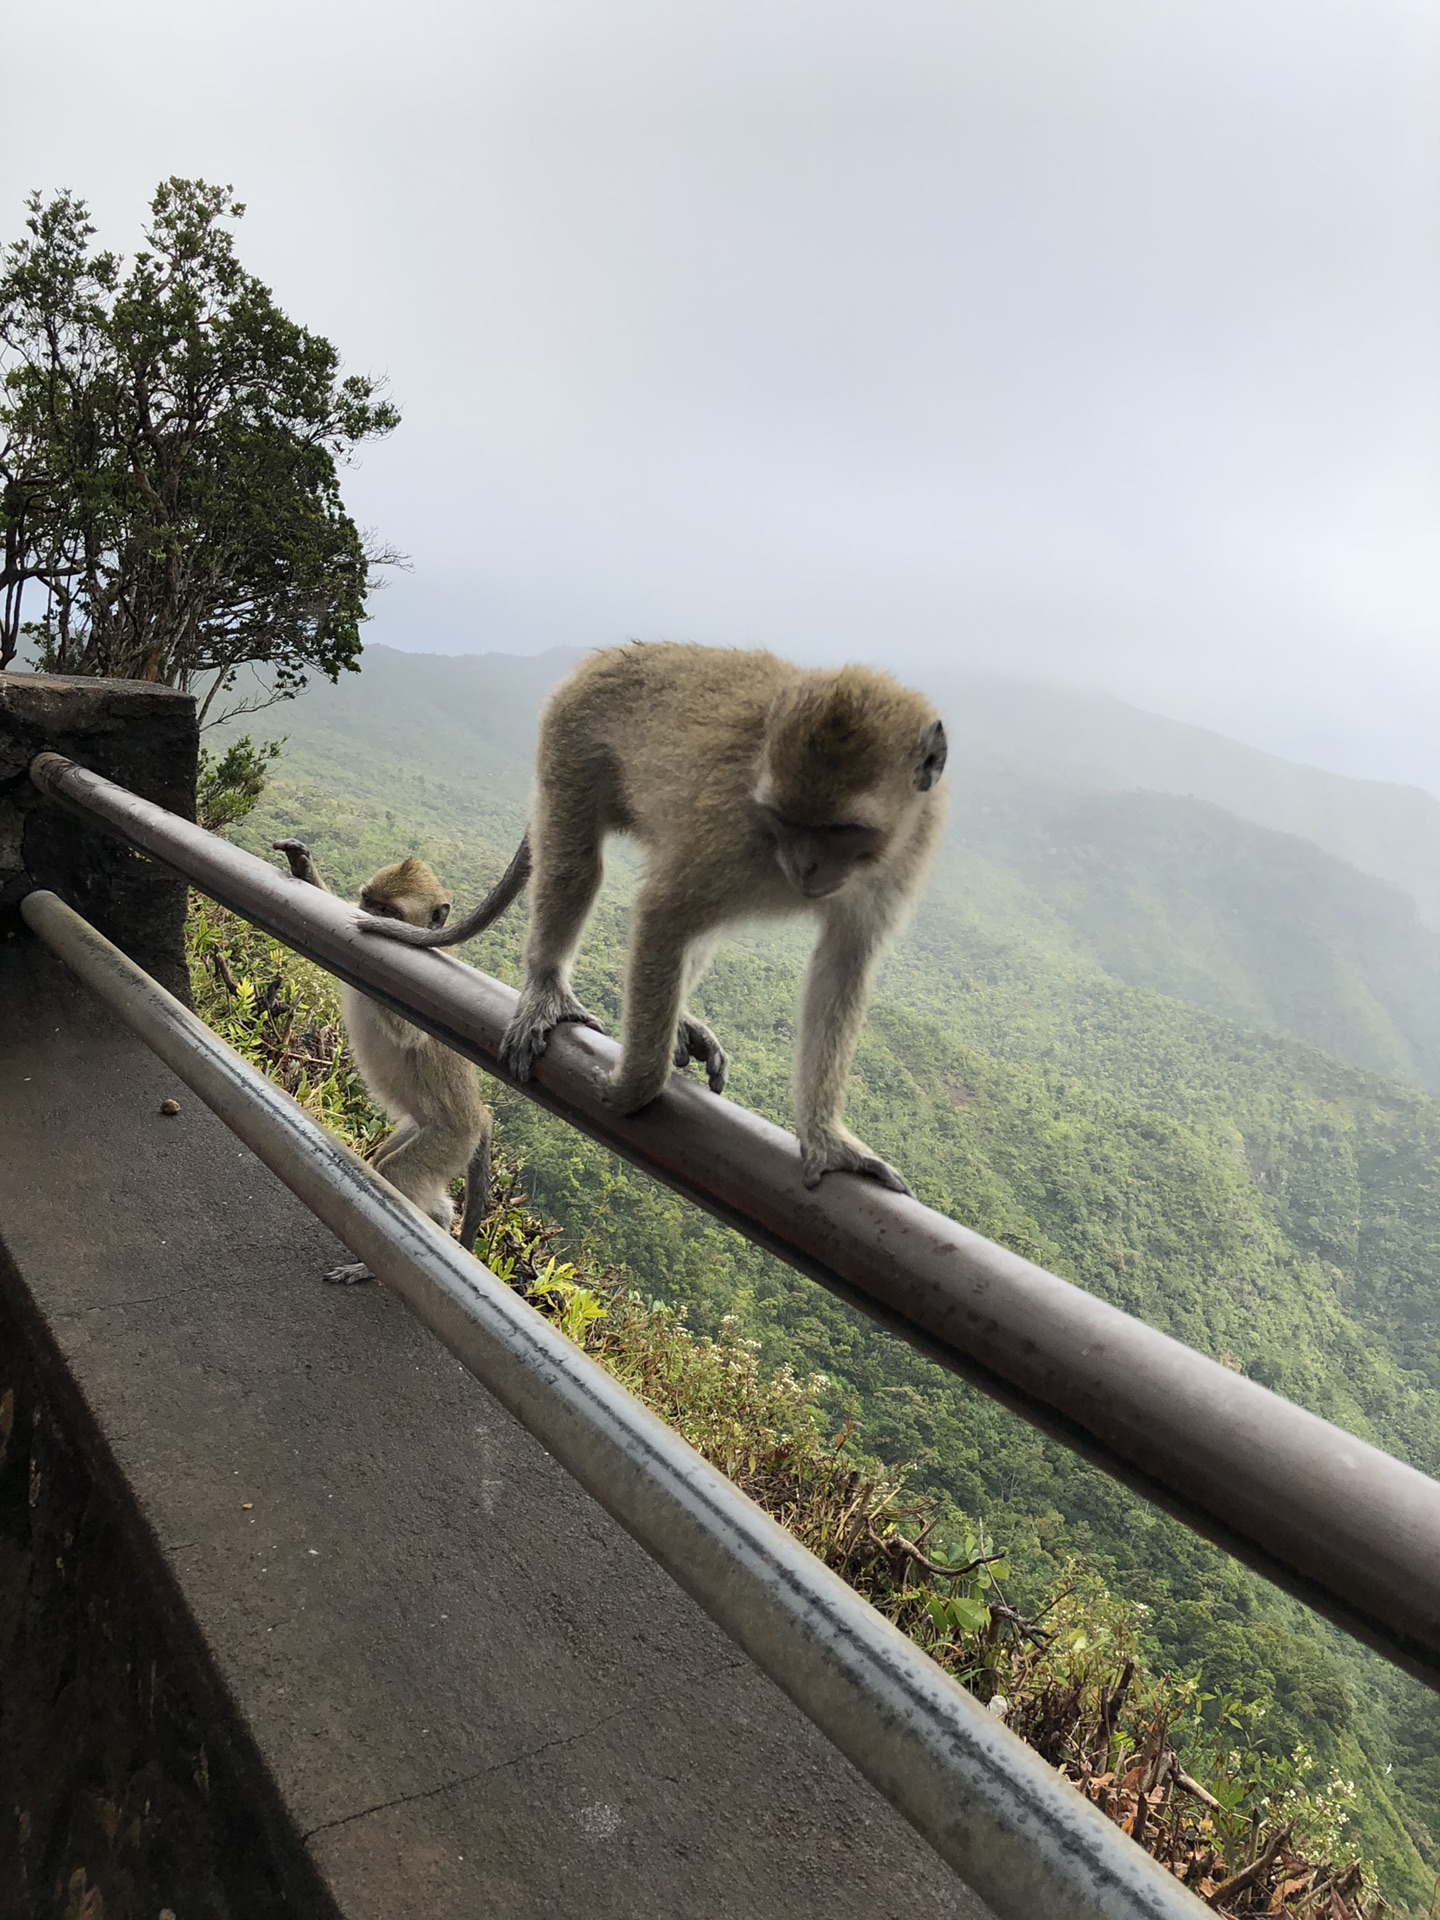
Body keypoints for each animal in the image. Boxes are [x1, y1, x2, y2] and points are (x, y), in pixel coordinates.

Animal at [272, 844, 495, 1282]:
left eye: (389, 912)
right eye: (369, 903)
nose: (372, 917)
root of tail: (479, 1119)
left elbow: (408, 1032)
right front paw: (304, 869)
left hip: (448, 1140)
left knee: (397, 1175)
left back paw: (377, 1262)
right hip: (421, 1130)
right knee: (392, 1167)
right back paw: (437, 1221)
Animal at [360, 637, 948, 1190]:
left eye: (843, 830)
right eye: (787, 819)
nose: (806, 867)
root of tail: (610, 655)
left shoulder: (904, 853)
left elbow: (842, 966)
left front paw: (826, 1138)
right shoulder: (729, 833)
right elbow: (664, 916)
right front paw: (637, 1085)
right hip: (571, 737)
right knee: (578, 865)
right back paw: (548, 984)